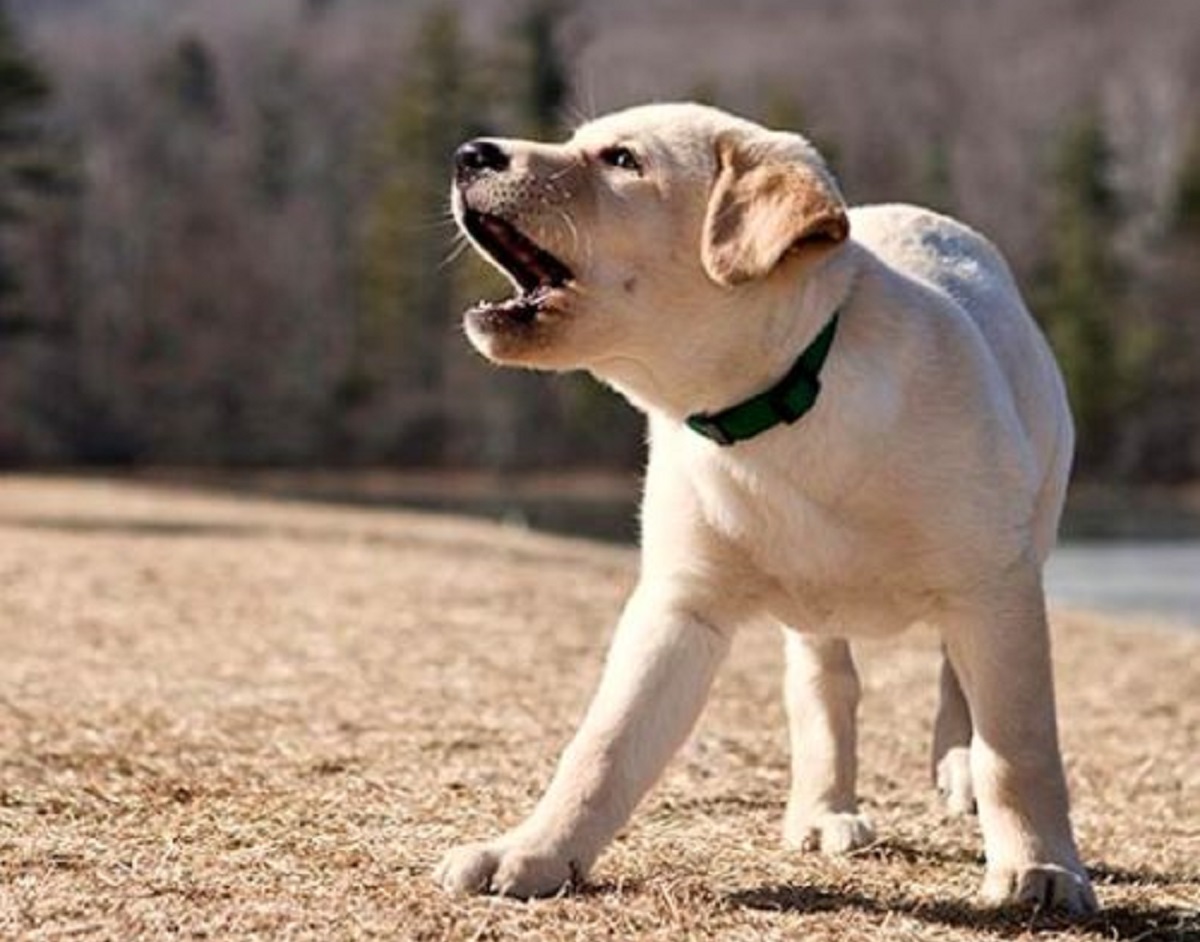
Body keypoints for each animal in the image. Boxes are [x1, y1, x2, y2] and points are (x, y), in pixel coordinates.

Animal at [439, 100, 1099, 912]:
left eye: (622, 160)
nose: (470, 152)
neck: (779, 406)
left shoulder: (993, 584)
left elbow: (1018, 742)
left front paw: (1042, 868)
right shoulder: (679, 605)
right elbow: (604, 745)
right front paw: (533, 854)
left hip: (1026, 531)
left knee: (956, 675)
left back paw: (956, 767)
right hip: (817, 615)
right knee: (826, 691)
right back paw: (822, 812)